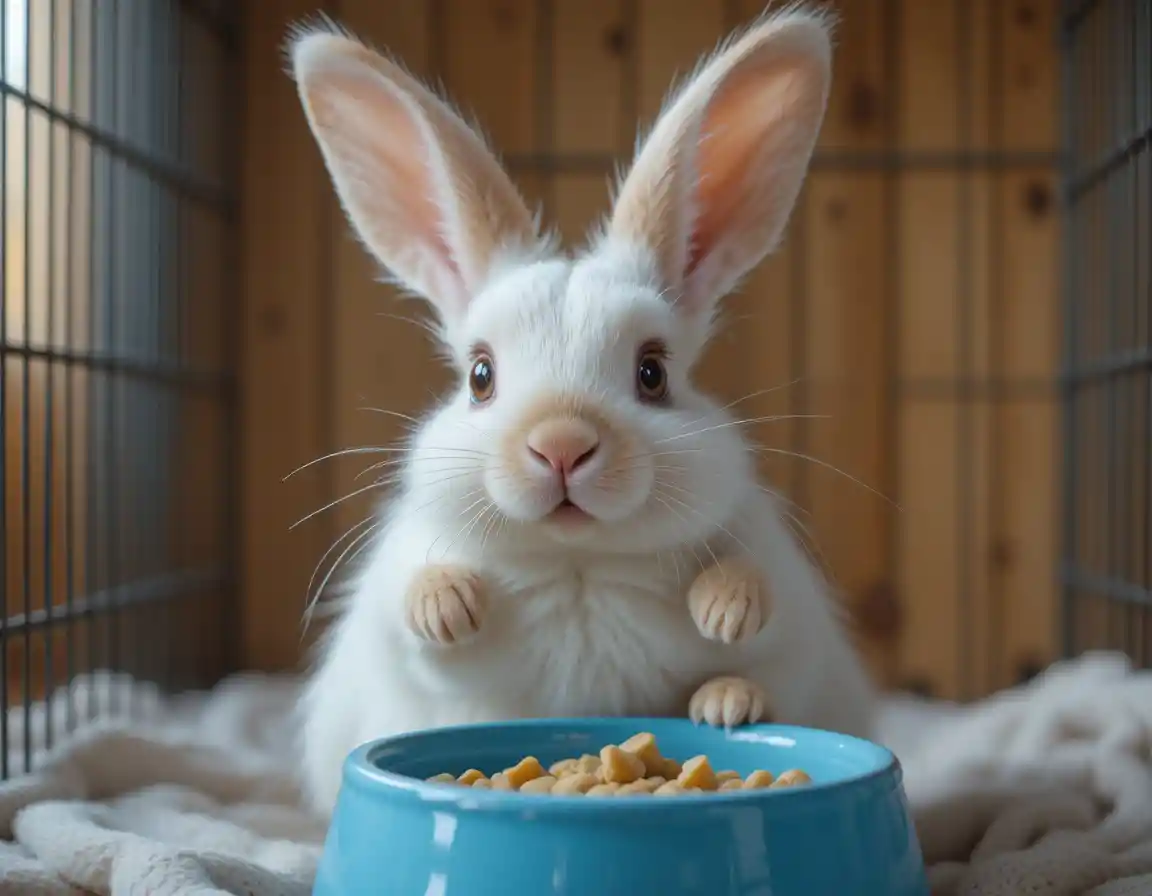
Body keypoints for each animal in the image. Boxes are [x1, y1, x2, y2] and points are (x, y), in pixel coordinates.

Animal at [289, 2, 877, 817]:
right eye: (480, 377)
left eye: (653, 373)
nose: (562, 445)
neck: (580, 564)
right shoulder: (399, 611)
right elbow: (416, 610)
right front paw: (452, 604)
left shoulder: (783, 587)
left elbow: (754, 587)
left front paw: (724, 611)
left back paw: (727, 701)